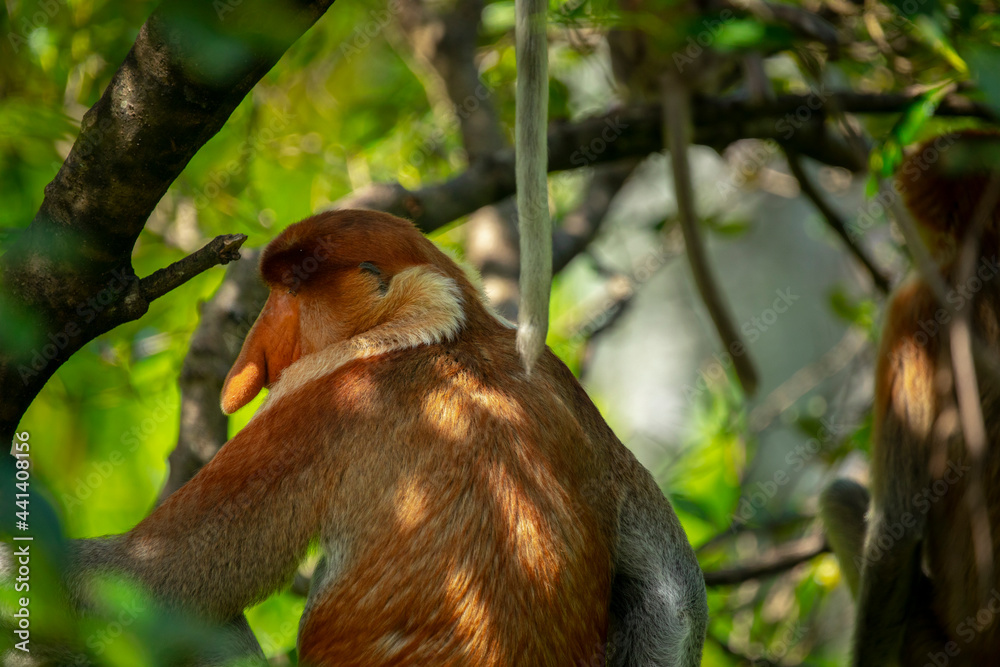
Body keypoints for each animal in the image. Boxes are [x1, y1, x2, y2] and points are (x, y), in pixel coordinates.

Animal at [55, 209, 706, 666]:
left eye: (289, 292)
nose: (252, 360)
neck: (446, 334)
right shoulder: (550, 371)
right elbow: (675, 588)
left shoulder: (327, 401)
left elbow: (145, 580)